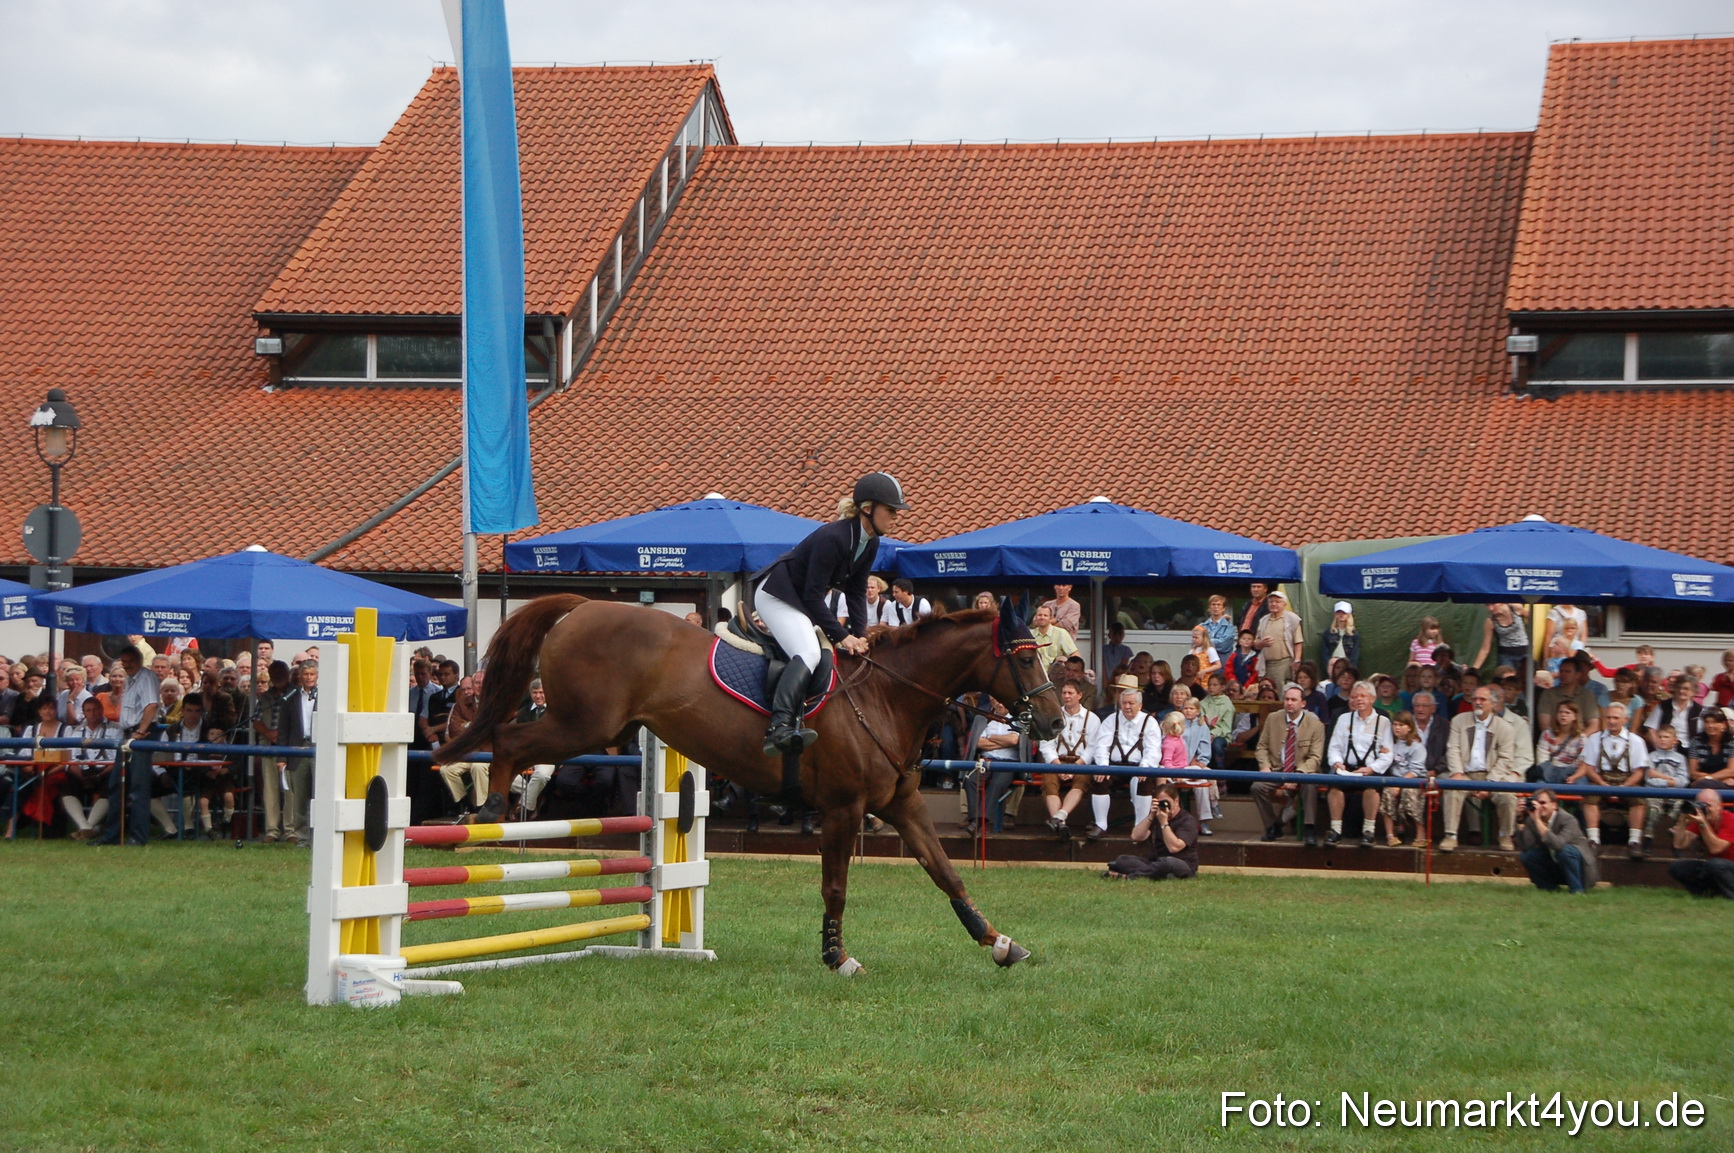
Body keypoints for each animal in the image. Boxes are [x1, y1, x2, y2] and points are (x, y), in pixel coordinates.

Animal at [435, 596, 1066, 973]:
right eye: (1023, 660)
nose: (1056, 722)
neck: (887, 695)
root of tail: (583, 605)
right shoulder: (843, 809)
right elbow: (836, 888)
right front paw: (837, 958)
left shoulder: (903, 804)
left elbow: (947, 873)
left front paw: (998, 942)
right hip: (581, 725)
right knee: (509, 741)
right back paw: (487, 809)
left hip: (599, 727)